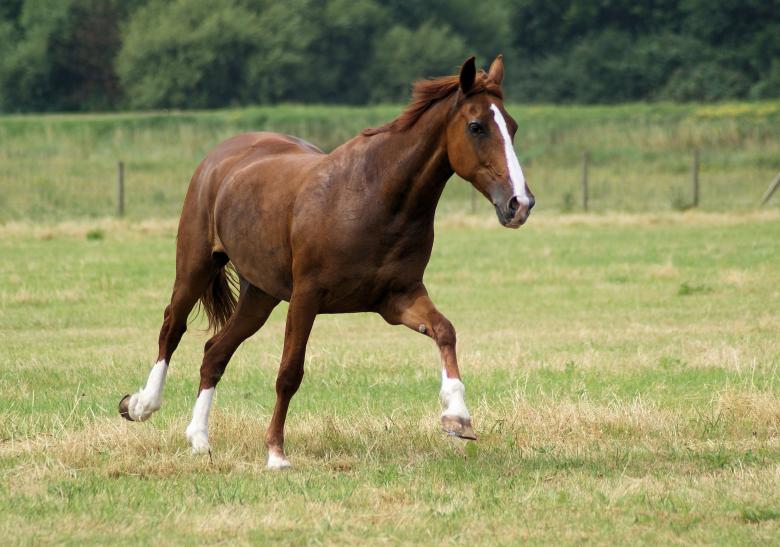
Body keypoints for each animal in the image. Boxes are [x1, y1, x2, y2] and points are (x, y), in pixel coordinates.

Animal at [118, 55, 535, 469]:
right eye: (476, 126)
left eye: (513, 126)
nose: (520, 204)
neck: (374, 196)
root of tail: (222, 155)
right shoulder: (307, 297)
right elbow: (289, 373)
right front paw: (276, 454)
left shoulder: (398, 298)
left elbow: (445, 331)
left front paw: (457, 417)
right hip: (196, 265)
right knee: (173, 327)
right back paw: (141, 405)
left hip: (260, 295)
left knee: (214, 352)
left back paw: (199, 438)